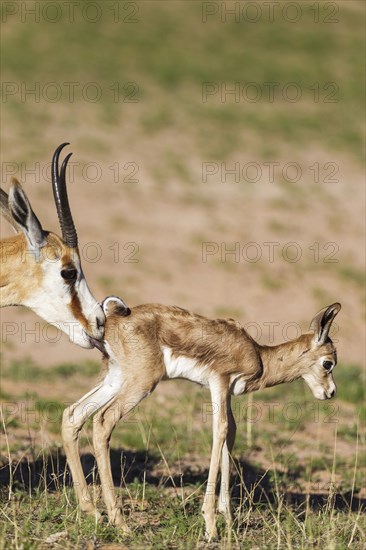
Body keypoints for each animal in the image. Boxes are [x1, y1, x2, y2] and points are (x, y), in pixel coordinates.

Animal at [62, 300, 340, 540]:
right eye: (328, 363)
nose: (330, 392)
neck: (260, 357)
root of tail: (113, 320)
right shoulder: (219, 381)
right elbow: (221, 431)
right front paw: (210, 525)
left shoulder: (226, 393)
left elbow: (231, 433)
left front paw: (228, 519)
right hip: (141, 383)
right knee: (103, 420)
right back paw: (120, 523)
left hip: (115, 378)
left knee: (74, 415)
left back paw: (93, 512)